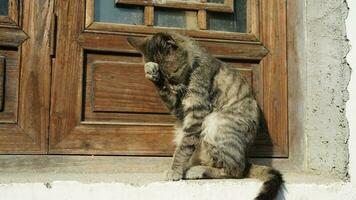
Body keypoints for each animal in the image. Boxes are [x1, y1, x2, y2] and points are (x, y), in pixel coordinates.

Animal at [128, 32, 284, 199]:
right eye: (164, 77)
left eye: (172, 74)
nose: (172, 86)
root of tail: (246, 157)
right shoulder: (179, 109)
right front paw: (152, 73)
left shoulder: (197, 112)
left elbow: (183, 148)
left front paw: (175, 171)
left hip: (215, 123)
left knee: (235, 171)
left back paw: (197, 170)